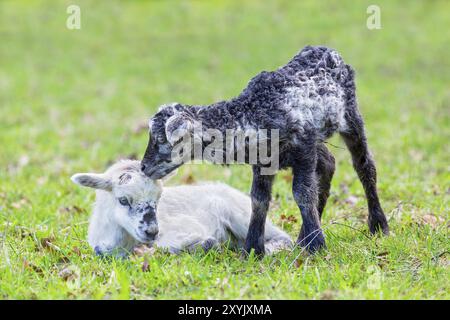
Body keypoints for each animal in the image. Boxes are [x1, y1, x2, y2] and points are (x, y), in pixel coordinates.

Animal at [70, 160, 292, 258]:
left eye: (159, 198)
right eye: (123, 200)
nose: (152, 231)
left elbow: (164, 246)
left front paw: (206, 244)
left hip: (242, 215)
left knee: (283, 238)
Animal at [142, 45, 390, 255]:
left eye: (160, 139)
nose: (144, 167)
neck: (254, 111)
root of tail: (326, 50)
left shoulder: (303, 147)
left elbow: (302, 192)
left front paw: (316, 246)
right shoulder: (263, 161)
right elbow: (259, 199)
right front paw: (253, 249)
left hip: (350, 115)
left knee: (364, 166)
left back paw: (378, 226)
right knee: (328, 163)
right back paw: (303, 236)